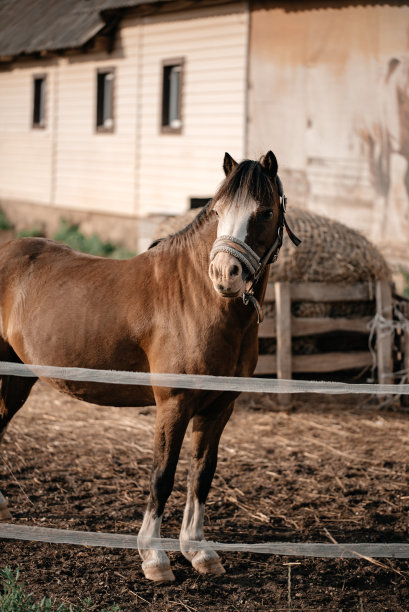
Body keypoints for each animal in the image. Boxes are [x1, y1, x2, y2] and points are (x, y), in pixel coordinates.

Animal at [0, 151, 296, 580]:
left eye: (266, 211)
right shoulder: (173, 405)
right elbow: (163, 476)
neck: (199, 299)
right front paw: (154, 557)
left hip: (18, 379)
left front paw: (199, 551)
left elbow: (201, 475)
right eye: (219, 211)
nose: (224, 275)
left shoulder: (219, 408)